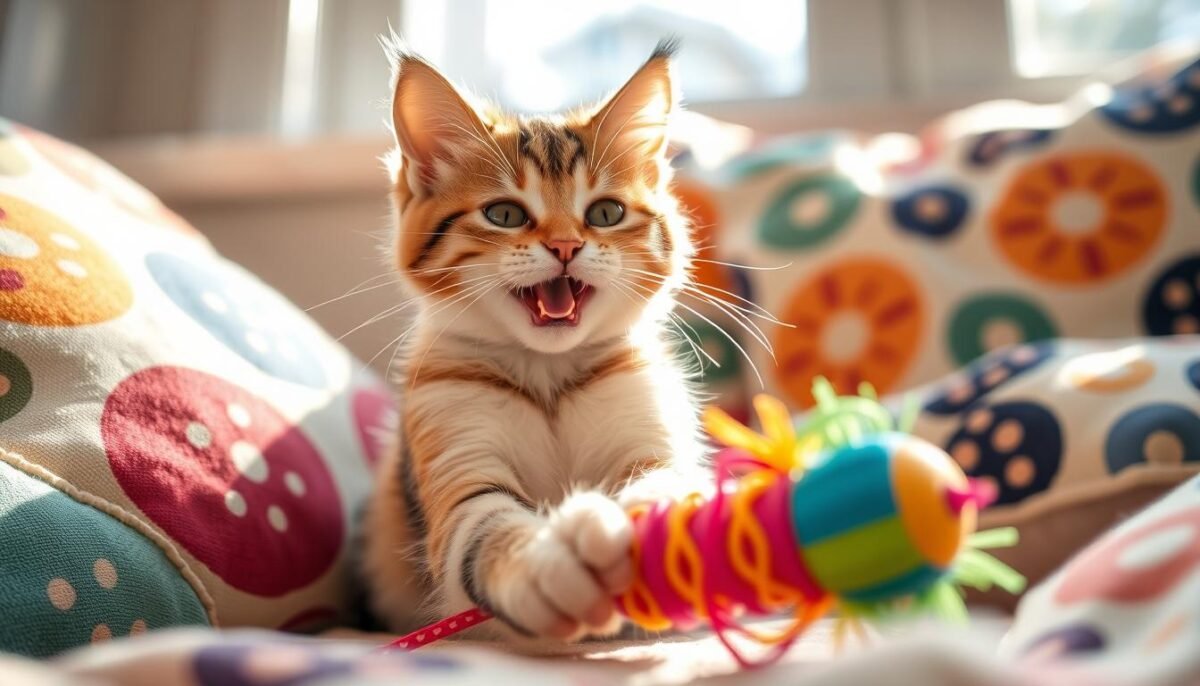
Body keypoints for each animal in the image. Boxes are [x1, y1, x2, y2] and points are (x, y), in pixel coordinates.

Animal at [360, 40, 705, 647]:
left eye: (606, 213)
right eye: (504, 214)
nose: (566, 245)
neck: (549, 378)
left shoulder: (653, 434)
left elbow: (669, 479)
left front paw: (653, 521)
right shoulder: (456, 460)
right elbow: (487, 529)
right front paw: (550, 562)